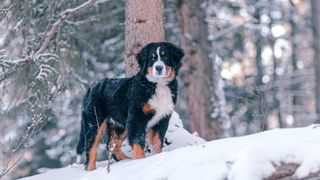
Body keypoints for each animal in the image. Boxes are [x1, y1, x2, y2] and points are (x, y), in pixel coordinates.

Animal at [75, 41, 184, 170]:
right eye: (152, 58)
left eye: (165, 56)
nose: (158, 67)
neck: (158, 84)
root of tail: (91, 87)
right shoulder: (137, 117)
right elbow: (138, 141)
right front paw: (140, 161)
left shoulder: (162, 118)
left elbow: (157, 142)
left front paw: (156, 157)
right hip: (95, 121)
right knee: (91, 146)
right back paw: (91, 169)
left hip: (120, 124)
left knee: (111, 145)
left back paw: (126, 161)